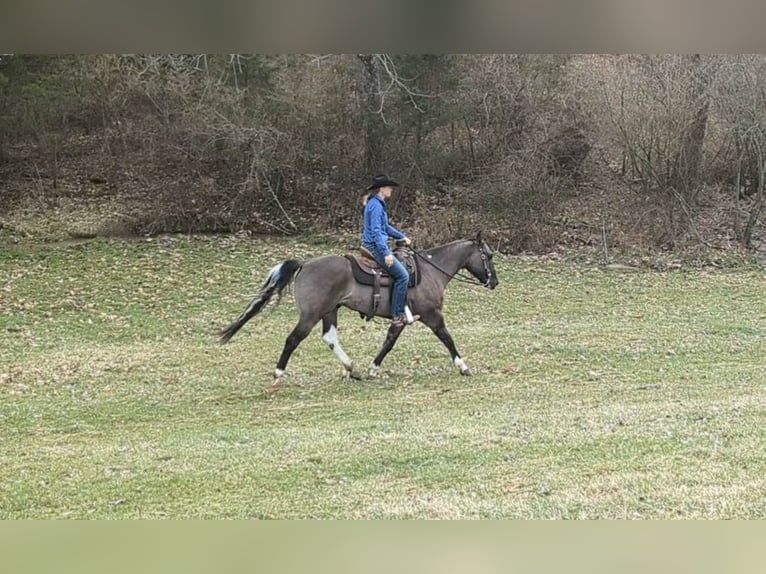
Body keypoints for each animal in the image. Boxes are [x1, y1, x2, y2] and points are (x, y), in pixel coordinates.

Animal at [219, 231, 500, 388]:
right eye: (488, 255)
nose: (494, 282)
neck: (431, 271)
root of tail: (305, 264)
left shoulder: (400, 320)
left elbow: (388, 342)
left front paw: (373, 369)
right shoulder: (433, 315)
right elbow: (447, 338)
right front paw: (463, 367)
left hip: (330, 311)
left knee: (329, 337)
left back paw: (351, 369)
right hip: (310, 315)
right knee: (293, 339)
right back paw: (278, 374)